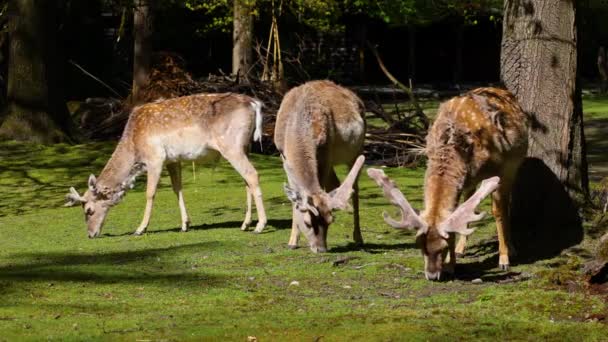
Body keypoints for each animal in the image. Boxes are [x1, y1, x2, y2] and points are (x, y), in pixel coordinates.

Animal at [64, 92, 268, 239]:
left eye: (89, 210)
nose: (91, 234)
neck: (134, 146)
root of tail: (255, 104)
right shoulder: (173, 159)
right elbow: (177, 188)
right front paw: (185, 224)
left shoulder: (155, 157)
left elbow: (150, 193)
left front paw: (140, 228)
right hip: (245, 146)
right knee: (246, 180)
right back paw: (245, 224)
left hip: (231, 145)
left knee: (252, 174)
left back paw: (260, 226)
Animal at [274, 79, 366, 251]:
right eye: (307, 223)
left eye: (330, 221)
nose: (321, 249)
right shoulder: (283, 155)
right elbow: (294, 198)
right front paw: (292, 242)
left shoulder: (325, 151)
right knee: (335, 183)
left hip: (357, 150)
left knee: (355, 188)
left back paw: (358, 237)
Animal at [366, 87, 528, 280]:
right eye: (420, 246)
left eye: (442, 248)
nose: (432, 275)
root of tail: (501, 90)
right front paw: (452, 264)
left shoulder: (499, 169)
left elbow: (497, 212)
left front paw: (503, 260)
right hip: (472, 179)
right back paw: (461, 249)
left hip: (513, 165)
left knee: (505, 204)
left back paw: (511, 250)